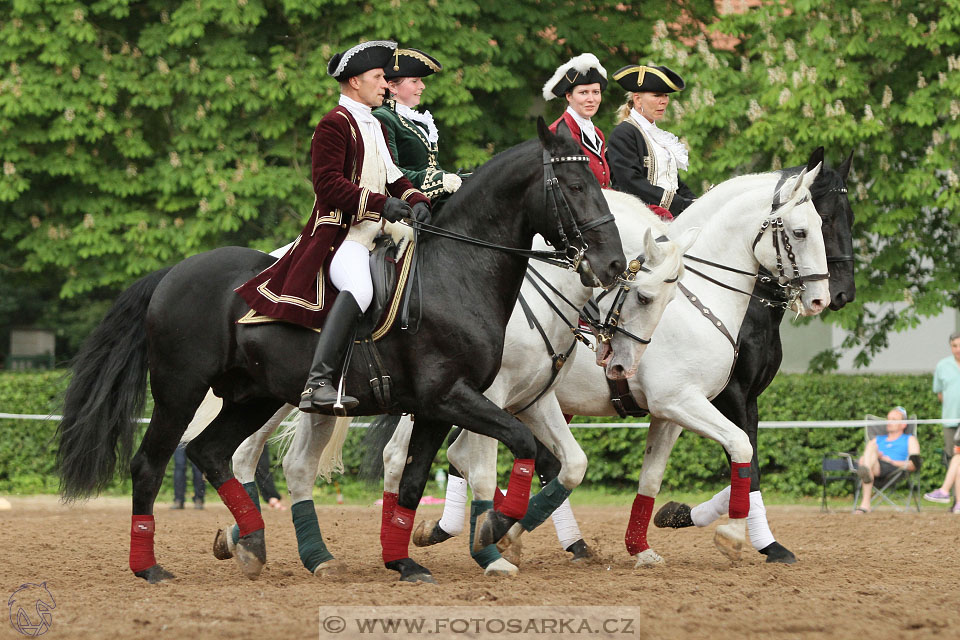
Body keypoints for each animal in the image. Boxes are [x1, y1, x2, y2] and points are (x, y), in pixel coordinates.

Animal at [58, 120, 632, 584]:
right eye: (576, 186)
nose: (611, 264)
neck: (456, 272)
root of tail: (173, 273)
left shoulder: (437, 407)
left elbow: (415, 481)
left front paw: (406, 558)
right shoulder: (455, 397)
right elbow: (521, 445)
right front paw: (494, 528)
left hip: (253, 396)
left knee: (211, 453)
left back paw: (254, 543)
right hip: (182, 392)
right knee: (151, 465)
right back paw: (151, 567)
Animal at [202, 190, 688, 576]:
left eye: (669, 299)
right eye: (644, 296)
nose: (623, 366)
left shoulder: (532, 397)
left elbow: (570, 464)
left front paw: (496, 533)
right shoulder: (482, 396)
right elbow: (477, 466)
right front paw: (488, 540)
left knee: (294, 462)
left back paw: (255, 540)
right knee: (254, 454)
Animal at [420, 166, 832, 568]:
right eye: (800, 232)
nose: (821, 299)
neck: (699, 303)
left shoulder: (671, 414)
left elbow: (652, 479)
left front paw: (643, 544)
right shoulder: (687, 401)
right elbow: (743, 449)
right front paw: (732, 535)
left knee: (463, 456)